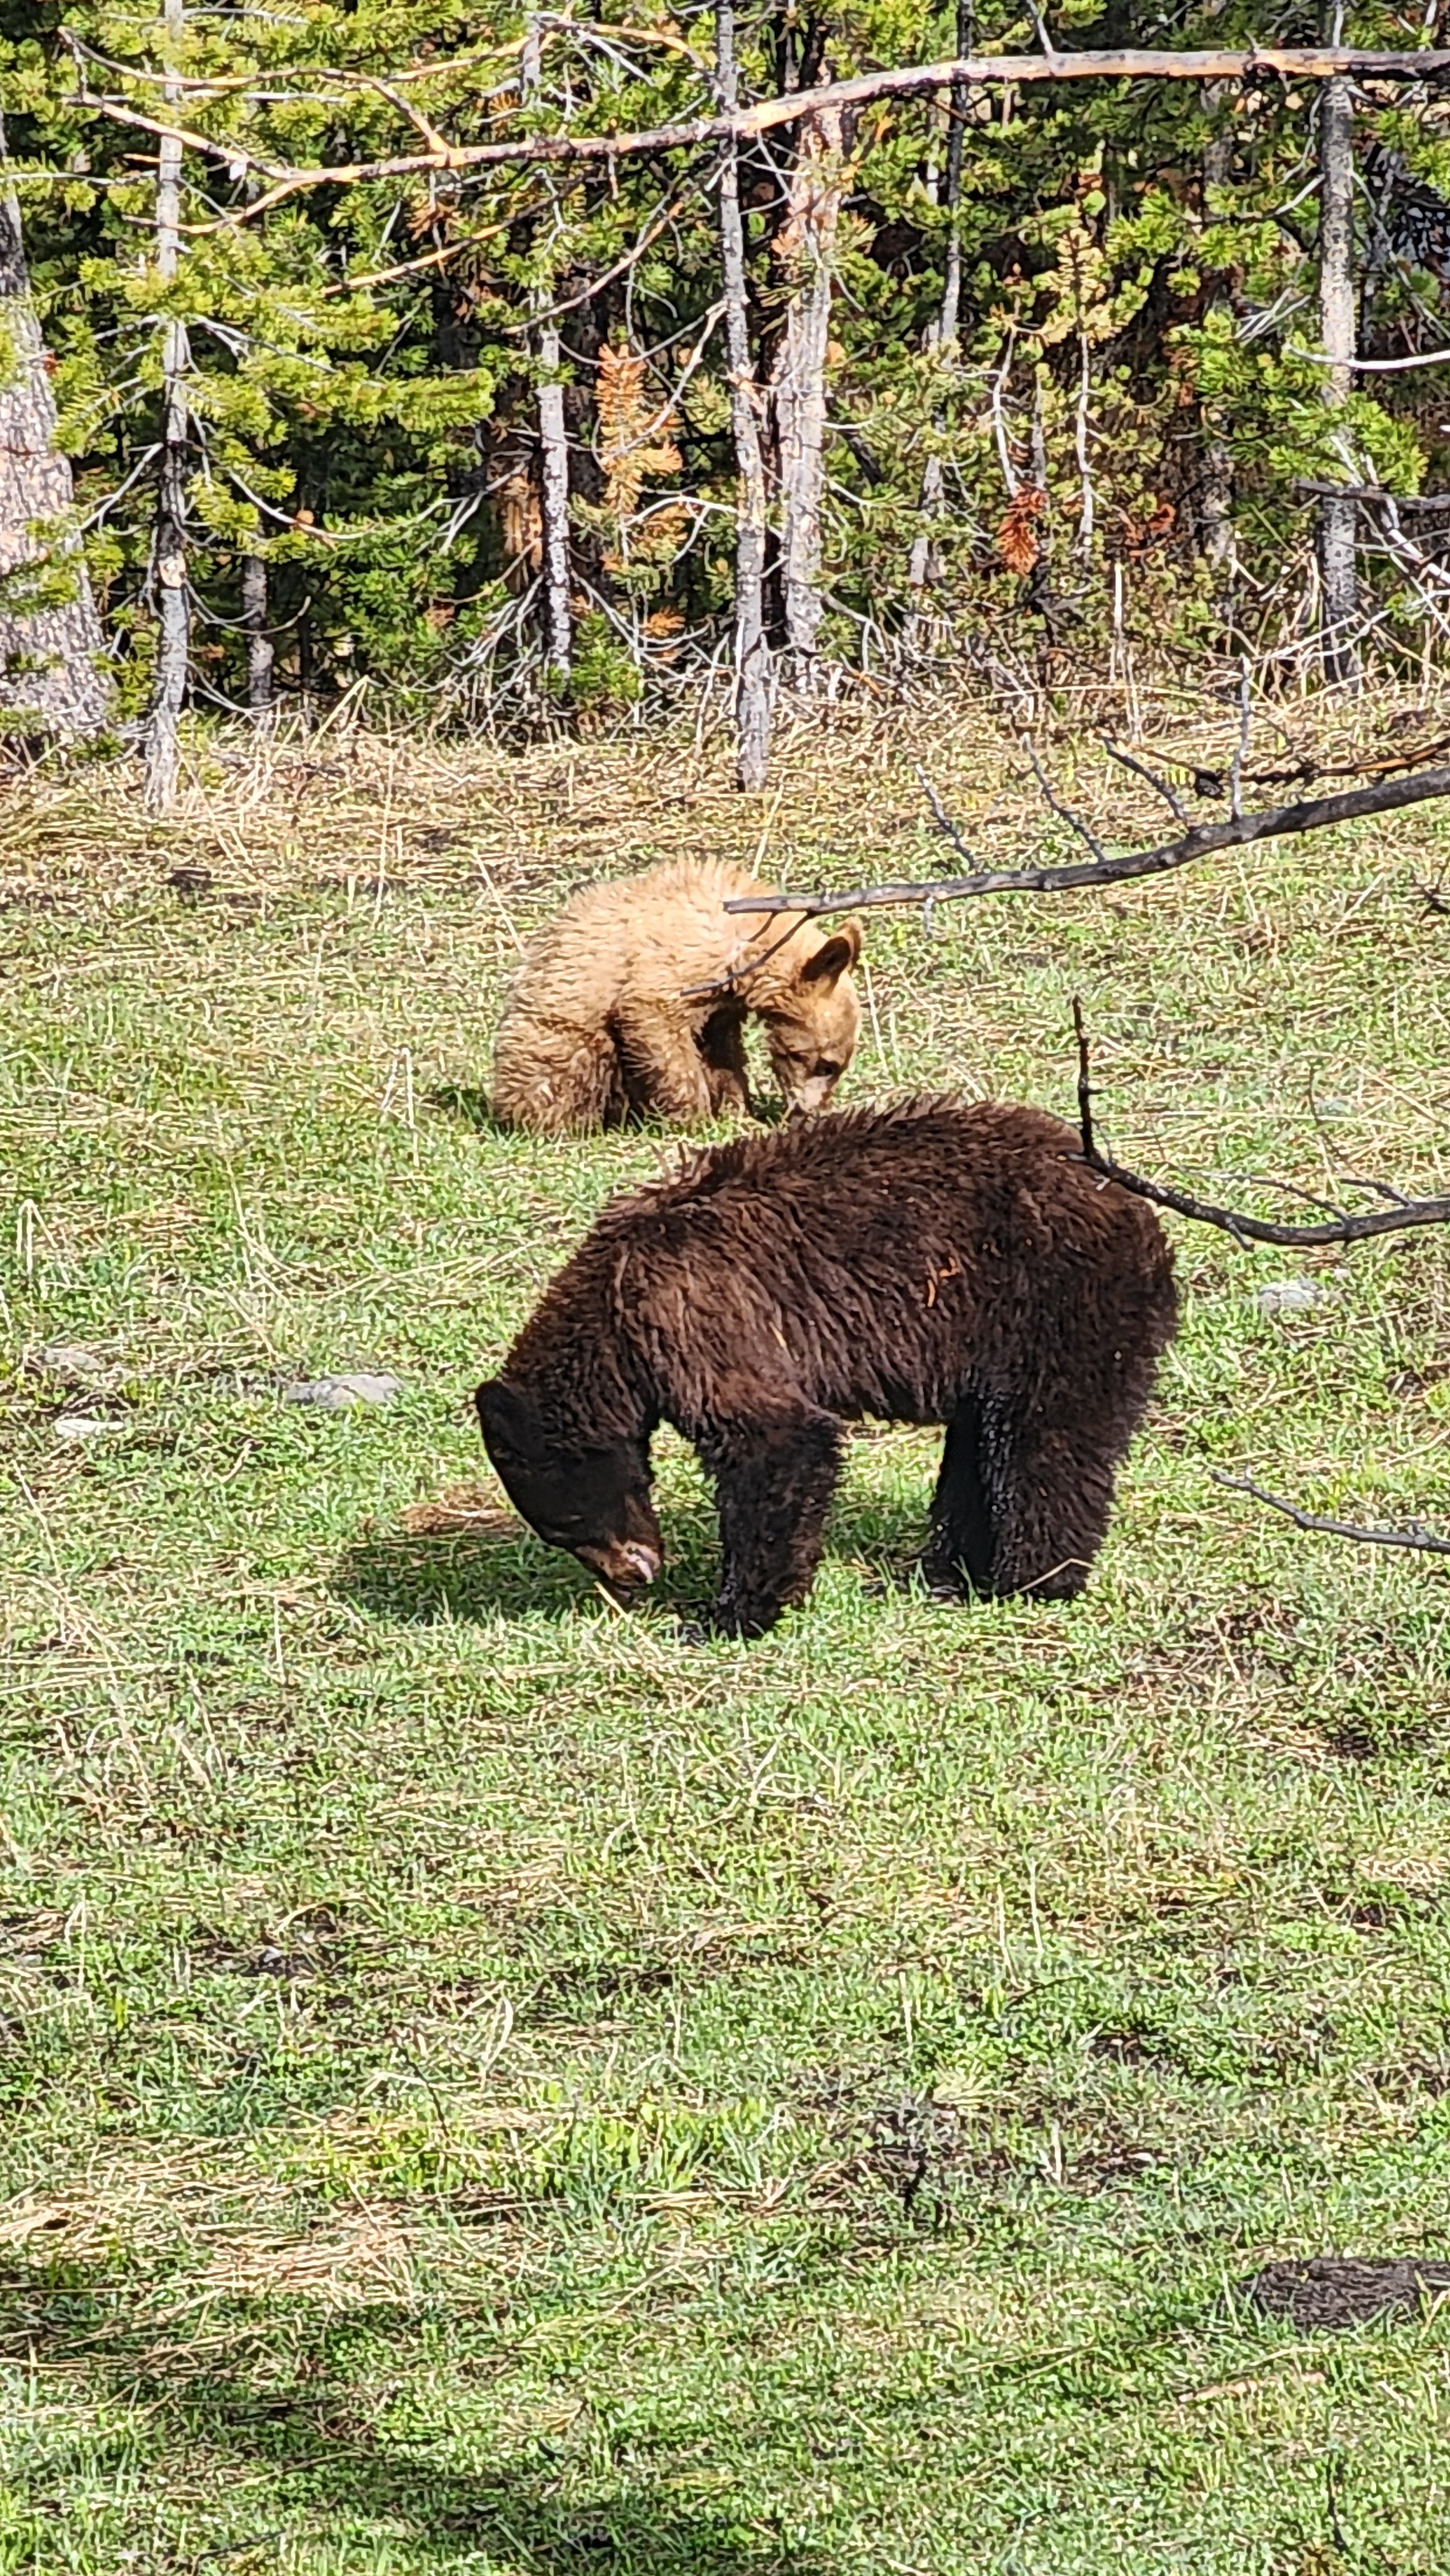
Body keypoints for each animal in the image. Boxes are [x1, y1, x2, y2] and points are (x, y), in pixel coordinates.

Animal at [475, 1099, 1178, 1638]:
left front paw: (731, 1614)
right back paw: (947, 1572)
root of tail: (1144, 1217)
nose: (632, 1575)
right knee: (977, 1452)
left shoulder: (690, 1310)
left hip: (1053, 1308)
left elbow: (776, 1439)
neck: (612, 1312)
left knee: (1042, 1443)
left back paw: (1031, 1578)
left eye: (563, 1523)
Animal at [489, 857, 863, 1132]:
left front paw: (736, 1109)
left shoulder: (721, 1004)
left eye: (838, 1066)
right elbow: (656, 1024)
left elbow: (722, 1052)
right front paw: (695, 1116)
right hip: (562, 1029)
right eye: (827, 1065)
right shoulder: (676, 961)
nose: (811, 1114)